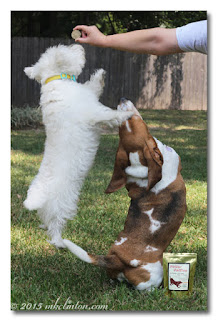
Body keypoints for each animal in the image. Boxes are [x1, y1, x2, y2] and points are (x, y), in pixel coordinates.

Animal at [23, 44, 133, 248]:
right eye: (64, 48)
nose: (79, 45)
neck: (56, 80)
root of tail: (38, 194)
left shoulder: (89, 97)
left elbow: (93, 86)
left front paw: (100, 75)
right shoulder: (93, 114)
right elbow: (109, 115)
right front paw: (126, 115)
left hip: (50, 207)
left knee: (47, 221)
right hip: (63, 203)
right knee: (56, 224)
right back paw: (59, 242)